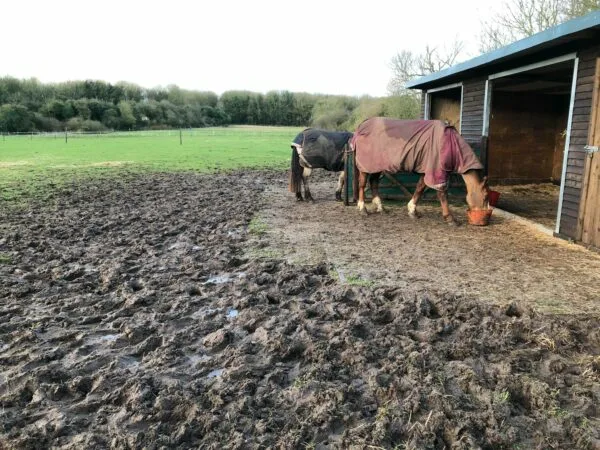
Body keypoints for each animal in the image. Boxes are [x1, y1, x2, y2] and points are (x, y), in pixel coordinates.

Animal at [350, 118, 490, 227]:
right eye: (485, 196)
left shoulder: (426, 170)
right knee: (362, 184)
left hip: (376, 166)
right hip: (365, 166)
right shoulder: (436, 171)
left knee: (374, 182)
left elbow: (420, 188)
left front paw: (413, 211)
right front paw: (450, 218)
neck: (450, 143)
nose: (485, 217)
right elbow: (442, 194)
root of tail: (361, 126)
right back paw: (363, 208)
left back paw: (381, 208)